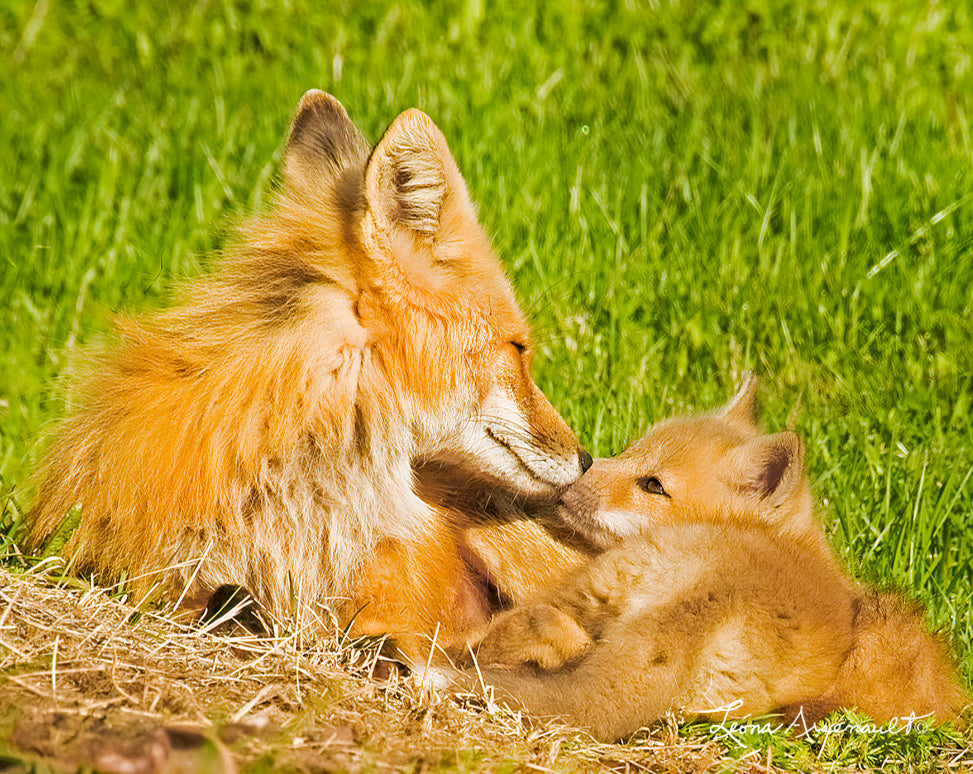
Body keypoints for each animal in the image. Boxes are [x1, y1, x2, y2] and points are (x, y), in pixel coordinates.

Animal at [453, 377, 968, 741]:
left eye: (653, 485)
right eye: (628, 451)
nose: (574, 475)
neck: (795, 545)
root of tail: (706, 602)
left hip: (584, 586)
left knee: (497, 633)